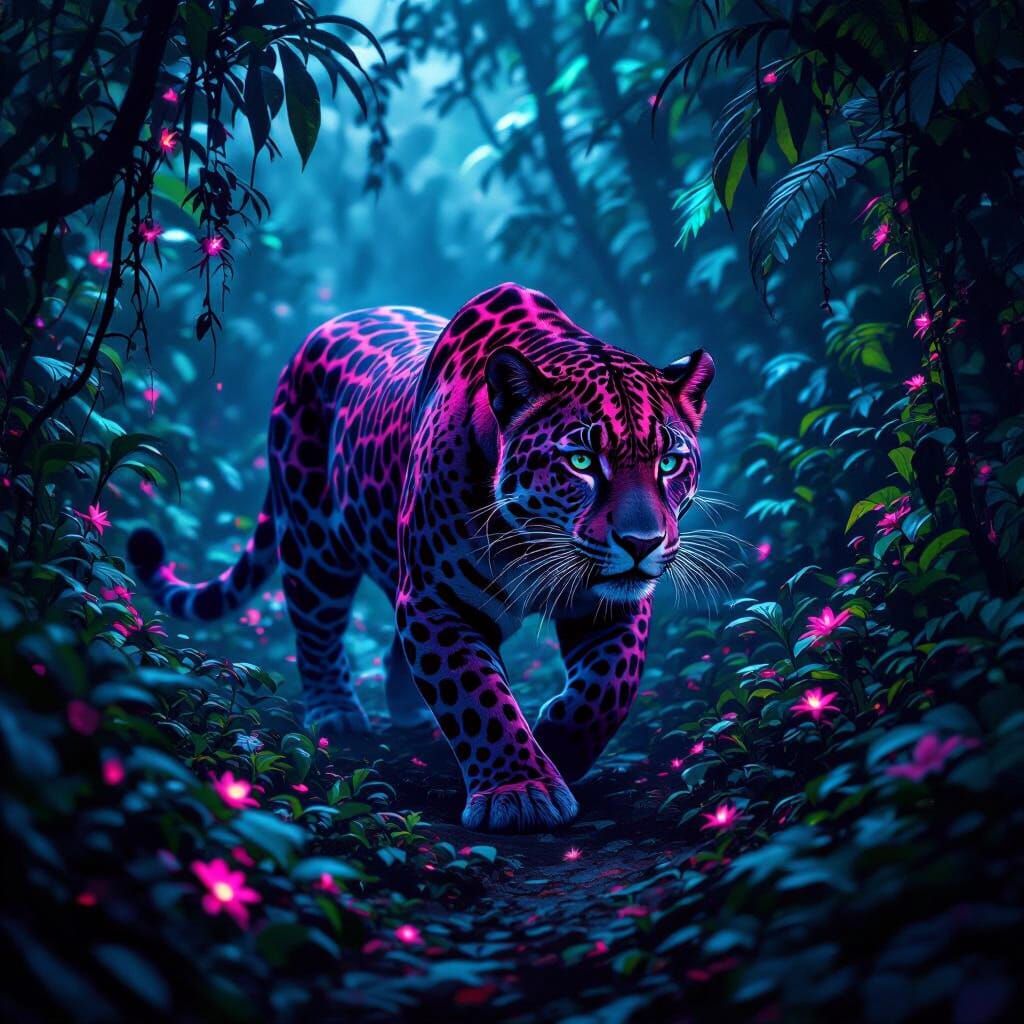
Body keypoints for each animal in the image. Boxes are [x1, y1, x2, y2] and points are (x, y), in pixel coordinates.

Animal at [128, 283, 715, 833]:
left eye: (668, 462)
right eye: (582, 461)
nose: (641, 543)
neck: (533, 540)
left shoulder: (608, 604)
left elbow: (612, 685)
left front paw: (559, 743)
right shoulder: (438, 601)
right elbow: (477, 698)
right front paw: (521, 792)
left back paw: (409, 710)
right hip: (315, 542)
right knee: (316, 628)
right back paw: (337, 715)